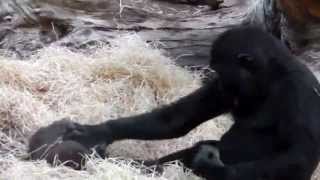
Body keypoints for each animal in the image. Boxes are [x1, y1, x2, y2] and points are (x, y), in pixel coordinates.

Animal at [63, 26, 320, 179]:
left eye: (221, 70)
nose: (220, 84)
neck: (269, 76)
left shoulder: (300, 93)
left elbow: (298, 157)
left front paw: (211, 168)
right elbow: (177, 119)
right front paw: (96, 132)